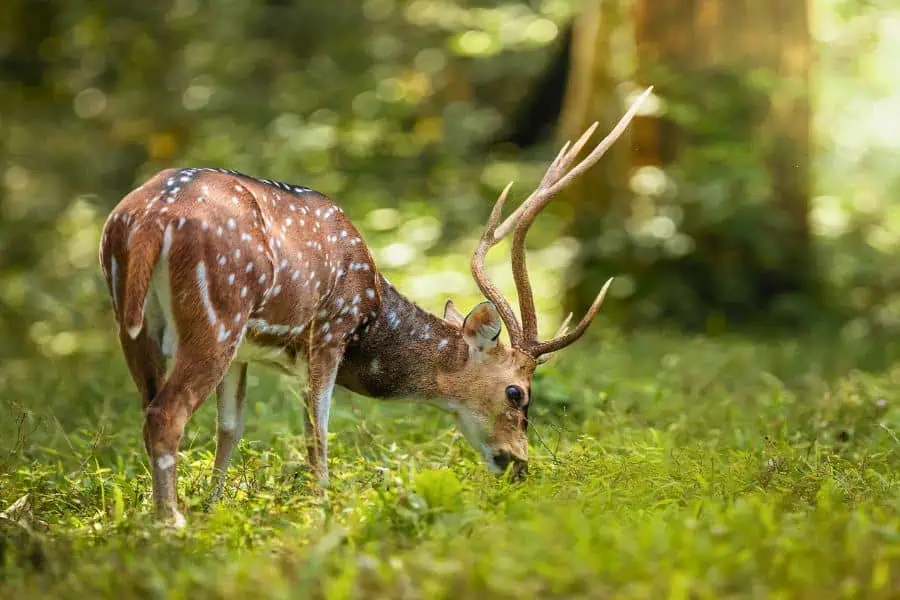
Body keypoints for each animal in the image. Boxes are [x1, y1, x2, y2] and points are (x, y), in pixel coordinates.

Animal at [98, 87, 652, 526]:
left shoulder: (248, 352)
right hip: (217, 313)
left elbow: (230, 430)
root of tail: (149, 218)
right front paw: (322, 508)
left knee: (149, 406)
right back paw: (170, 524)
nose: (519, 465)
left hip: (137, 324)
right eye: (517, 394)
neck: (372, 311)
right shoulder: (329, 329)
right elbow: (317, 431)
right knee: (165, 414)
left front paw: (215, 510)